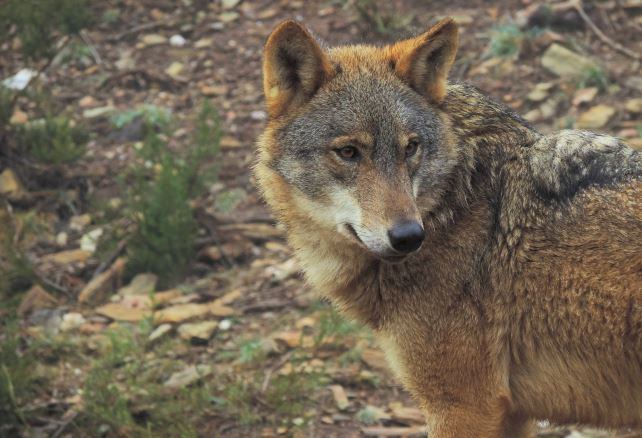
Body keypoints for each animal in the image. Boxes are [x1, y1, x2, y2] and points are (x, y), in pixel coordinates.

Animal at [255, 18, 641, 437]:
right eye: (348, 152)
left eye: (410, 147)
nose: (409, 236)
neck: (450, 208)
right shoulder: (511, 412)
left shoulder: (463, 407)